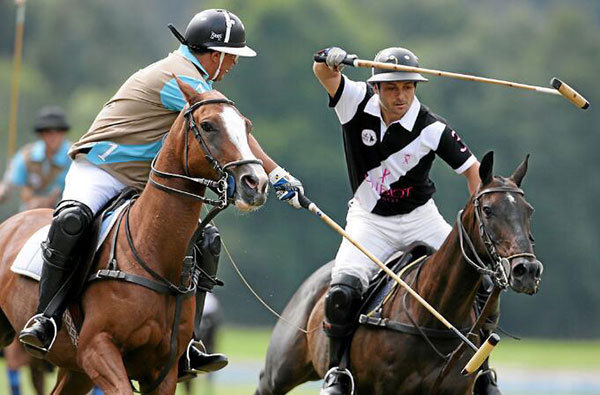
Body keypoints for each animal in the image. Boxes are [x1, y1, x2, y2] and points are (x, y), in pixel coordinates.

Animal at [0, 81, 268, 395]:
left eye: (246, 126)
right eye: (208, 125)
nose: (256, 183)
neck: (153, 251)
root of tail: (12, 222)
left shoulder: (162, 371)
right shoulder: (97, 348)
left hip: (74, 370)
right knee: (71, 220)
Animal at [256, 153, 544, 395]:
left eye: (529, 210)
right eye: (487, 210)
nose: (527, 270)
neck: (434, 316)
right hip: (280, 370)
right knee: (341, 294)